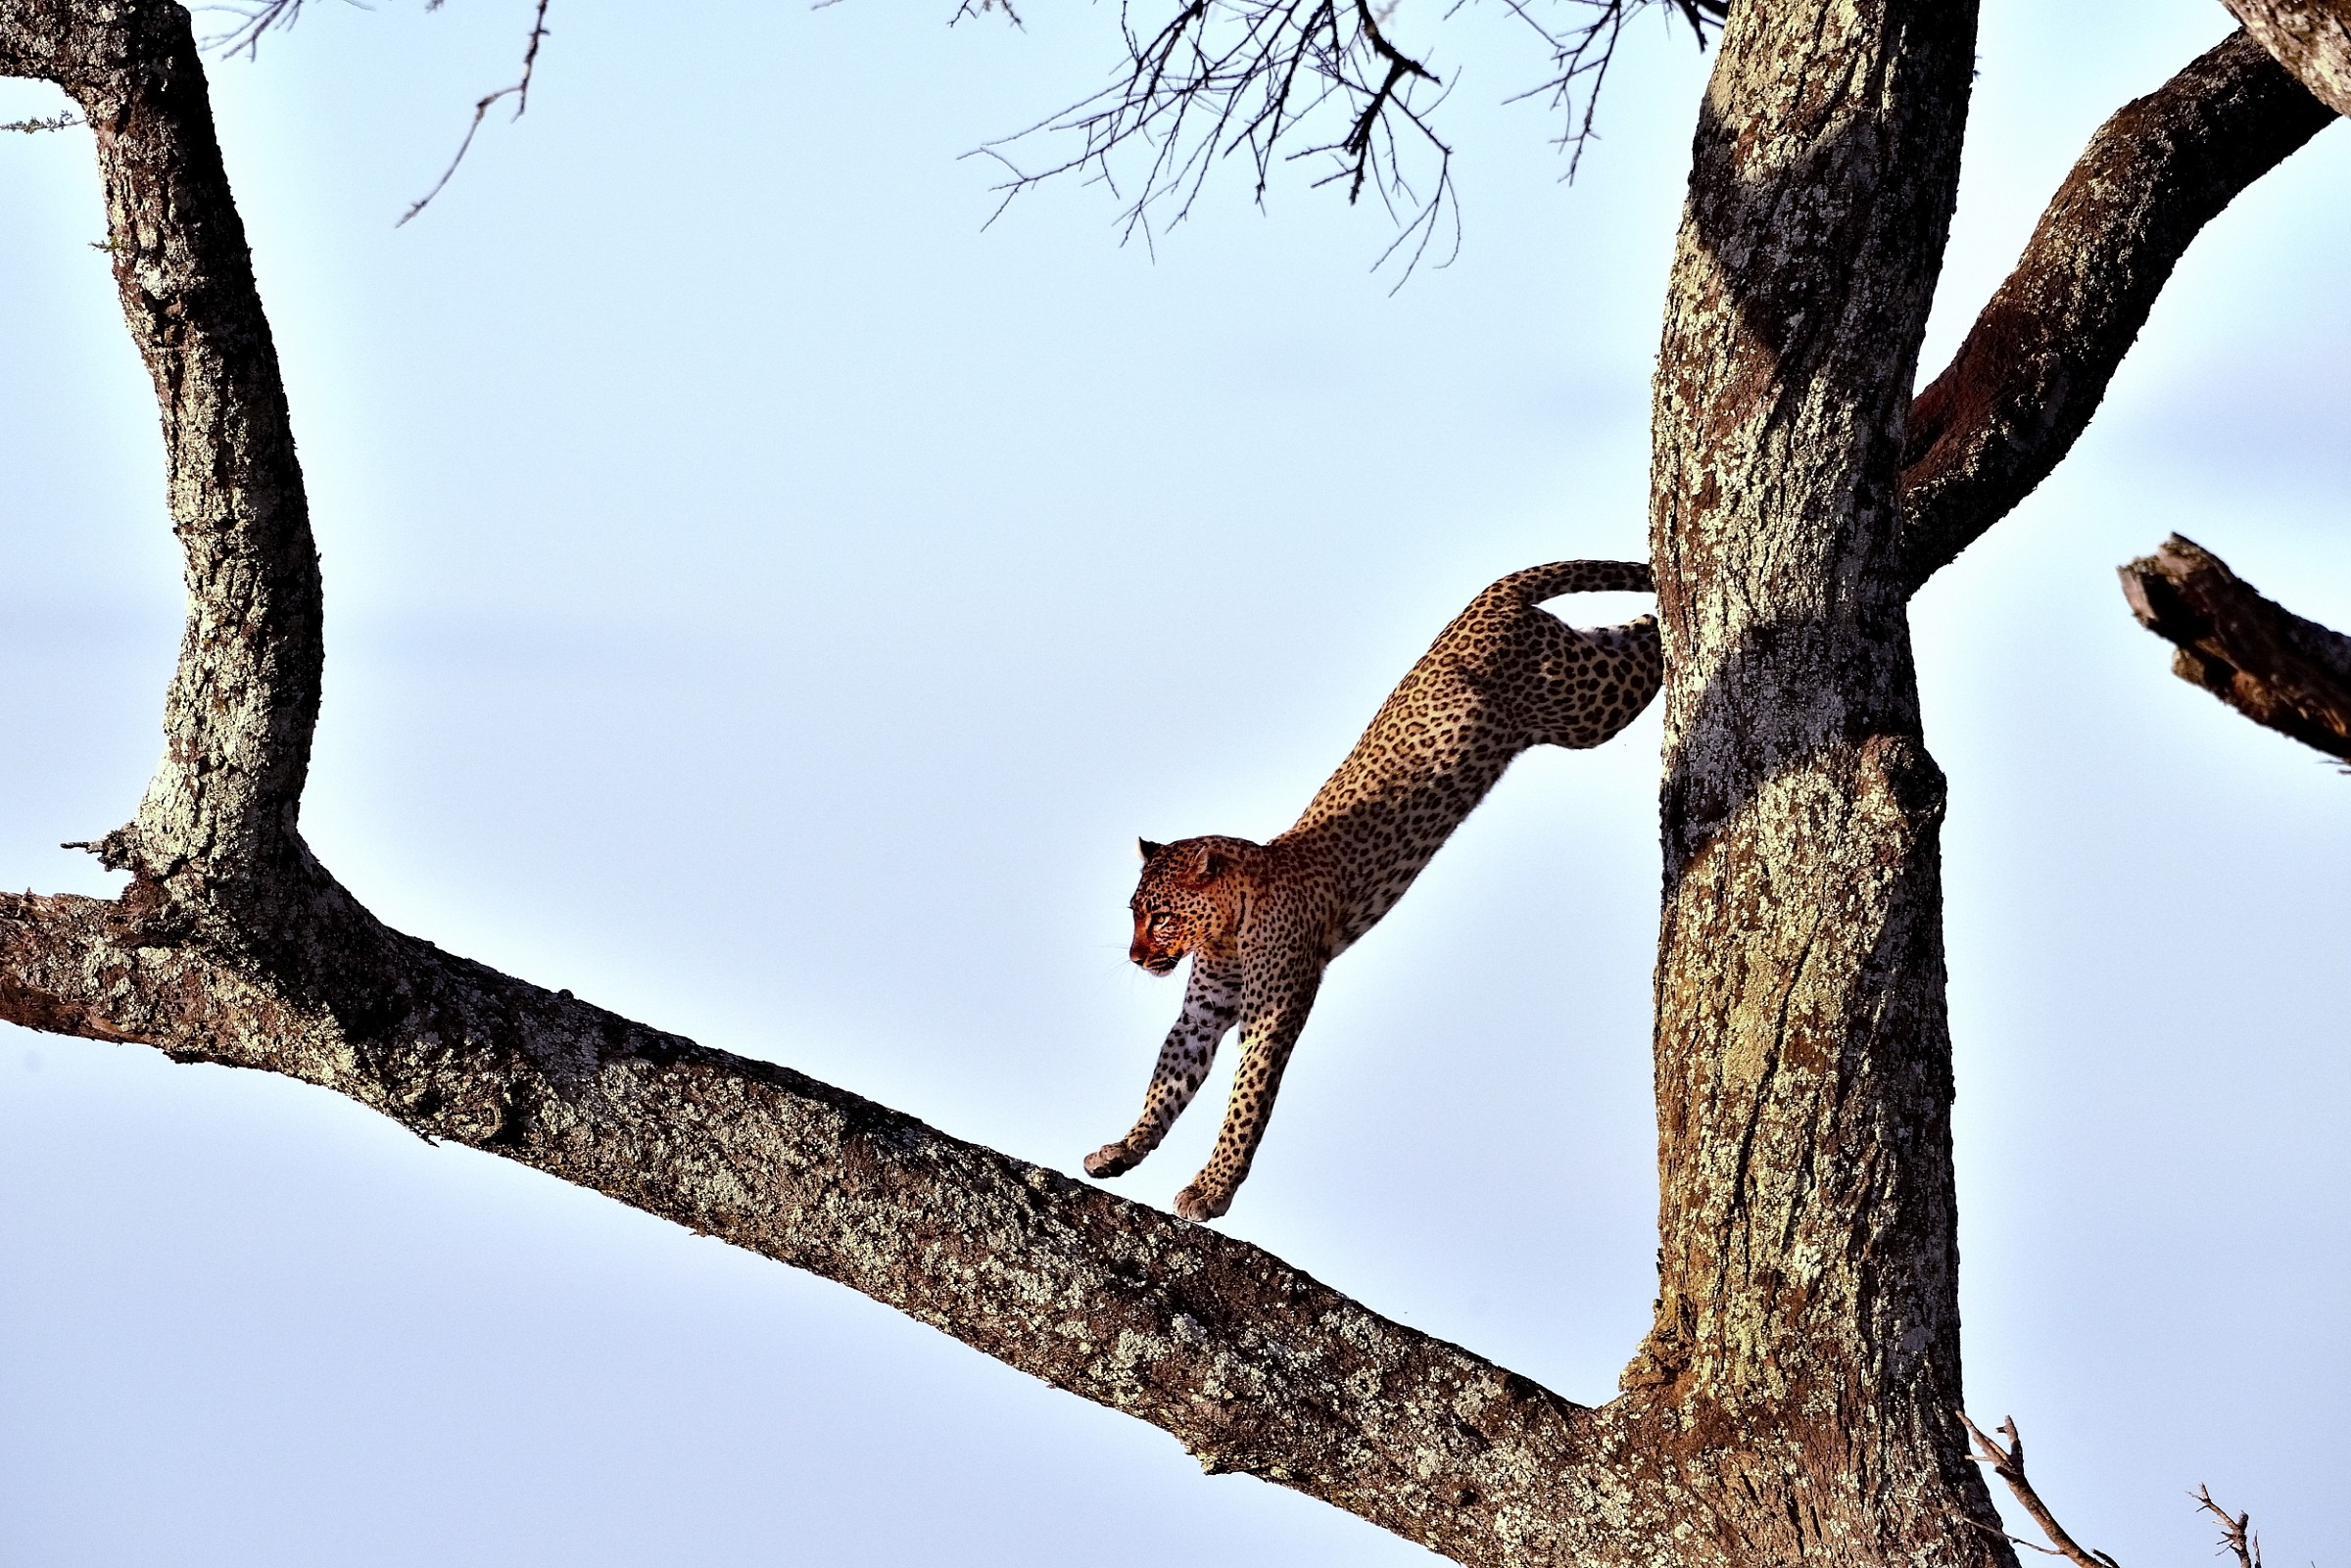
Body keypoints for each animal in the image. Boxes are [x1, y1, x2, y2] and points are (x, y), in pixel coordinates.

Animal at [1086, 558, 1660, 1222]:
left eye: (1159, 918)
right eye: (1134, 914)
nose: (1134, 957)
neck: (1227, 930)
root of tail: (1481, 604)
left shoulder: (1274, 1006)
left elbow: (1245, 1103)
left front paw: (1211, 1189)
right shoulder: (1202, 1012)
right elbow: (1164, 1085)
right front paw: (1122, 1150)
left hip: (1584, 708)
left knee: (1649, 653)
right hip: (1584, 674)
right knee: (1636, 629)